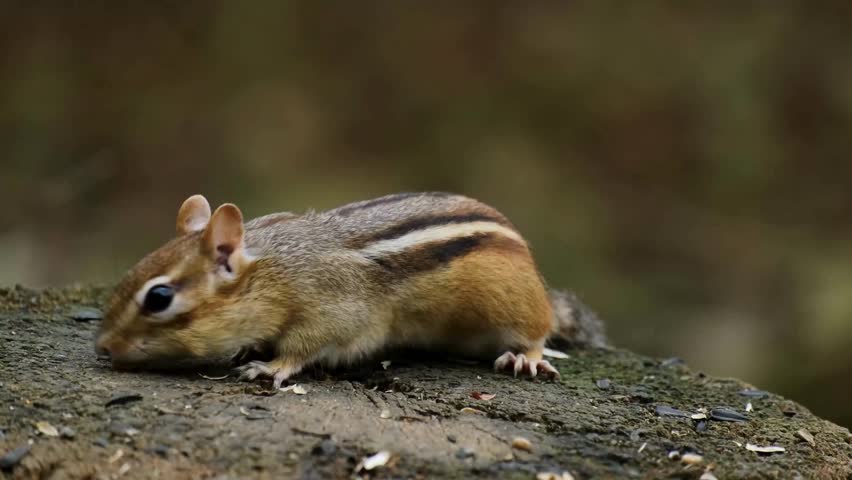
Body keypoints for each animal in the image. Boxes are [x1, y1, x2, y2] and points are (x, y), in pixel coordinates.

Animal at [96, 192, 606, 387]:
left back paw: (527, 356)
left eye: (159, 298)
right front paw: (249, 350)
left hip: (514, 303)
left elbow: (306, 345)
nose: (103, 347)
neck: (274, 269)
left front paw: (271, 366)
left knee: (537, 329)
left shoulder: (334, 310)